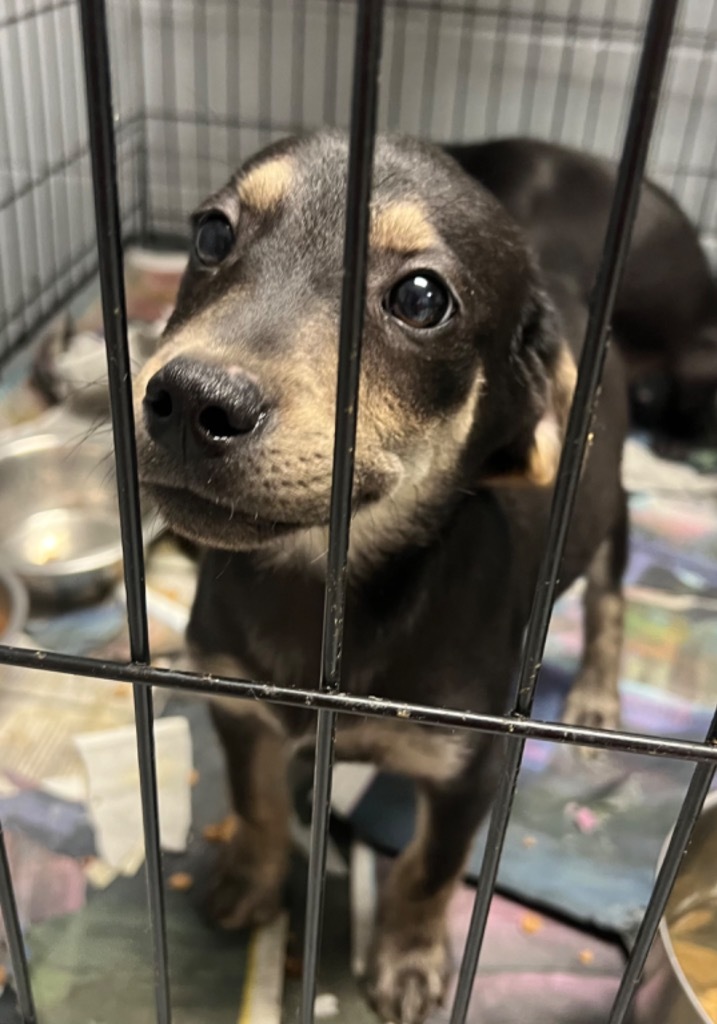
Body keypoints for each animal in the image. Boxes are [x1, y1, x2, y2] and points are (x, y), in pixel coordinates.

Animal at [133, 136, 626, 1024]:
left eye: (422, 298)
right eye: (212, 235)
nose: (189, 399)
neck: (317, 584)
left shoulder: (469, 767)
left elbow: (430, 869)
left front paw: (406, 958)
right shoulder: (235, 705)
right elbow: (255, 804)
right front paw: (249, 881)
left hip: (608, 524)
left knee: (609, 603)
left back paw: (599, 693)